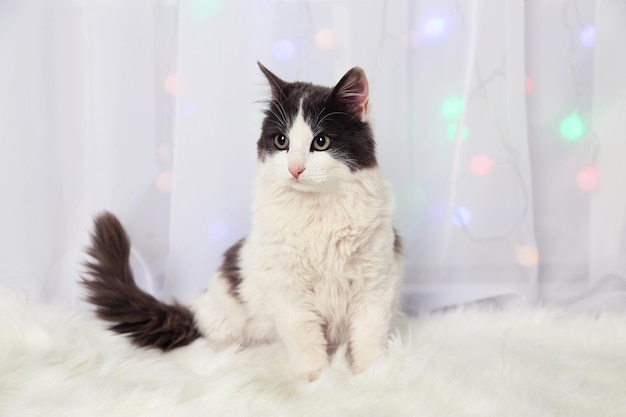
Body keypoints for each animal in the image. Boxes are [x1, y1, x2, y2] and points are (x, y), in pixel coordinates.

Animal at [80, 62, 402, 380]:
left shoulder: (375, 283)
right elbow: (305, 339)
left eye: (321, 142)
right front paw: (314, 378)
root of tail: (196, 308)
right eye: (282, 141)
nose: (295, 169)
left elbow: (368, 336)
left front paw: (372, 374)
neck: (317, 213)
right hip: (223, 315)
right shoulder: (289, 291)